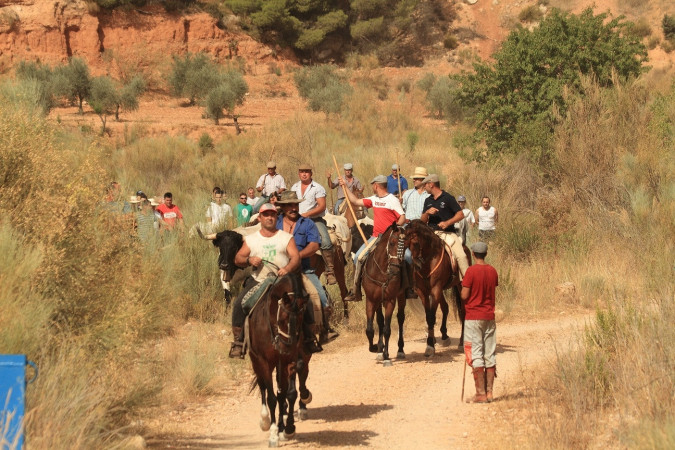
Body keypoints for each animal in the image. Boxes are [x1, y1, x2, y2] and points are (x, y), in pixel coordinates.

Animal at [250, 270, 310, 446]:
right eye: (282, 318)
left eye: (302, 318)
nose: (286, 348)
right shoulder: (264, 361)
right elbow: (271, 397)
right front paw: (273, 433)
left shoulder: (286, 361)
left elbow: (286, 394)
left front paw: (287, 428)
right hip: (255, 360)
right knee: (262, 386)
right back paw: (264, 420)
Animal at [360, 221, 406, 366]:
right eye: (391, 243)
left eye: (405, 246)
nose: (395, 270)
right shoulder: (370, 299)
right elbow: (370, 329)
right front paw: (375, 348)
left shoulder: (390, 300)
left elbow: (387, 329)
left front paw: (386, 356)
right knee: (380, 321)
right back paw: (380, 349)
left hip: (401, 296)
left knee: (400, 318)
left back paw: (400, 350)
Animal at [404, 220, 468, 356]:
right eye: (406, 244)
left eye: (416, 242)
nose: (417, 266)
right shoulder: (423, 292)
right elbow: (429, 316)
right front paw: (430, 344)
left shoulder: (435, 289)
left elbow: (432, 316)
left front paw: (430, 346)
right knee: (445, 307)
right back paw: (445, 336)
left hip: (459, 286)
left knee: (463, 311)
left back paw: (461, 343)